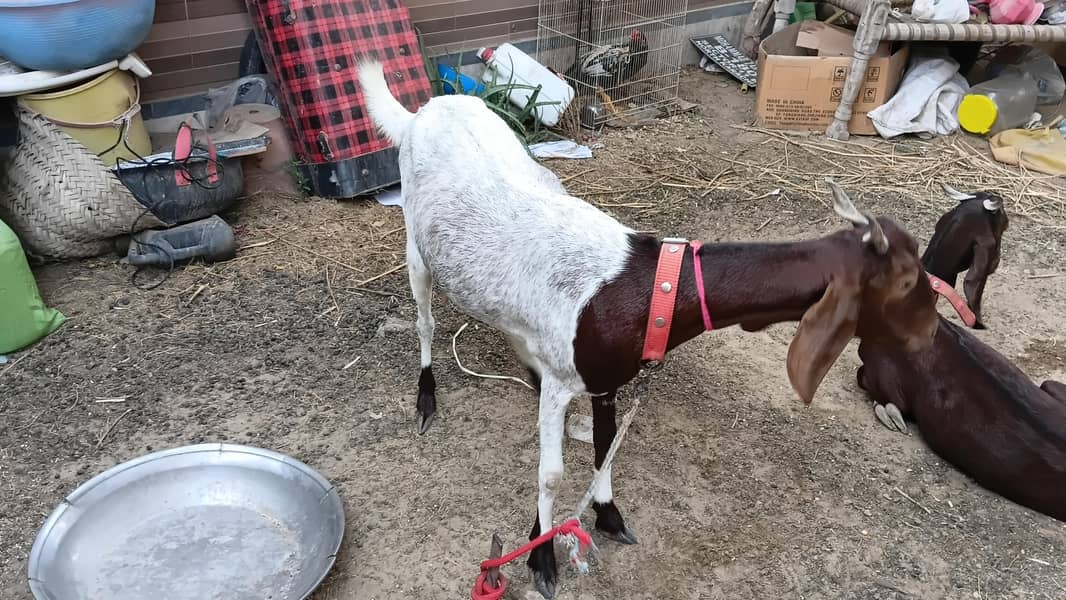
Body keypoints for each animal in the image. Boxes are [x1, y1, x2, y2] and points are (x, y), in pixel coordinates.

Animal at [357, 60, 939, 598]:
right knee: (425, 321)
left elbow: (605, 444)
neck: (644, 287)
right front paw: (542, 557)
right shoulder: (567, 381)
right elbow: (551, 472)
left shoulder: (605, 379)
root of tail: (426, 110)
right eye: (908, 279)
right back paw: (426, 399)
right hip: (416, 249)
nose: (933, 334)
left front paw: (608, 514)